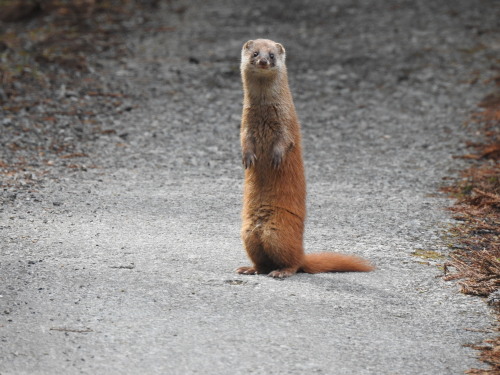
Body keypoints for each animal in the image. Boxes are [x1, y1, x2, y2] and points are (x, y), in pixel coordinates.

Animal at [236, 39, 374, 280]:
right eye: (254, 53)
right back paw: (248, 268)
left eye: (271, 55)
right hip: (248, 233)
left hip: (278, 232)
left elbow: (285, 141)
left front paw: (276, 157)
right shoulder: (245, 124)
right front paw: (247, 158)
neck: (263, 112)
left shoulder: (287, 122)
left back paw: (281, 271)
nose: (263, 61)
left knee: (292, 263)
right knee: (262, 263)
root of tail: (302, 252)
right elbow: (244, 141)